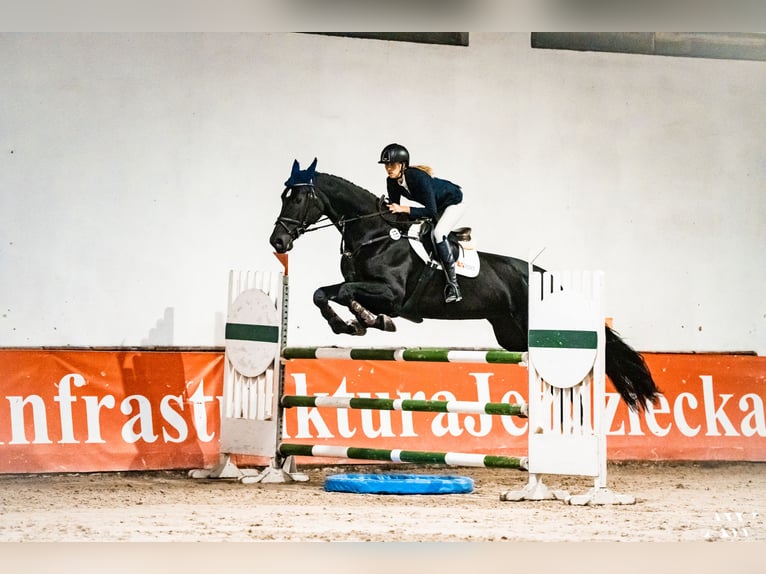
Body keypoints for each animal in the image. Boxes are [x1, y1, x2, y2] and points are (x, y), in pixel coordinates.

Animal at [270, 160, 660, 412]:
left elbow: (350, 295)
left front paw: (365, 320)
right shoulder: (359, 284)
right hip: (511, 335)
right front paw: (353, 323)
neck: (374, 234)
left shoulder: (392, 295)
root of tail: (542, 274)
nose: (277, 242)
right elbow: (324, 293)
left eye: (298, 198)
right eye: (283, 197)